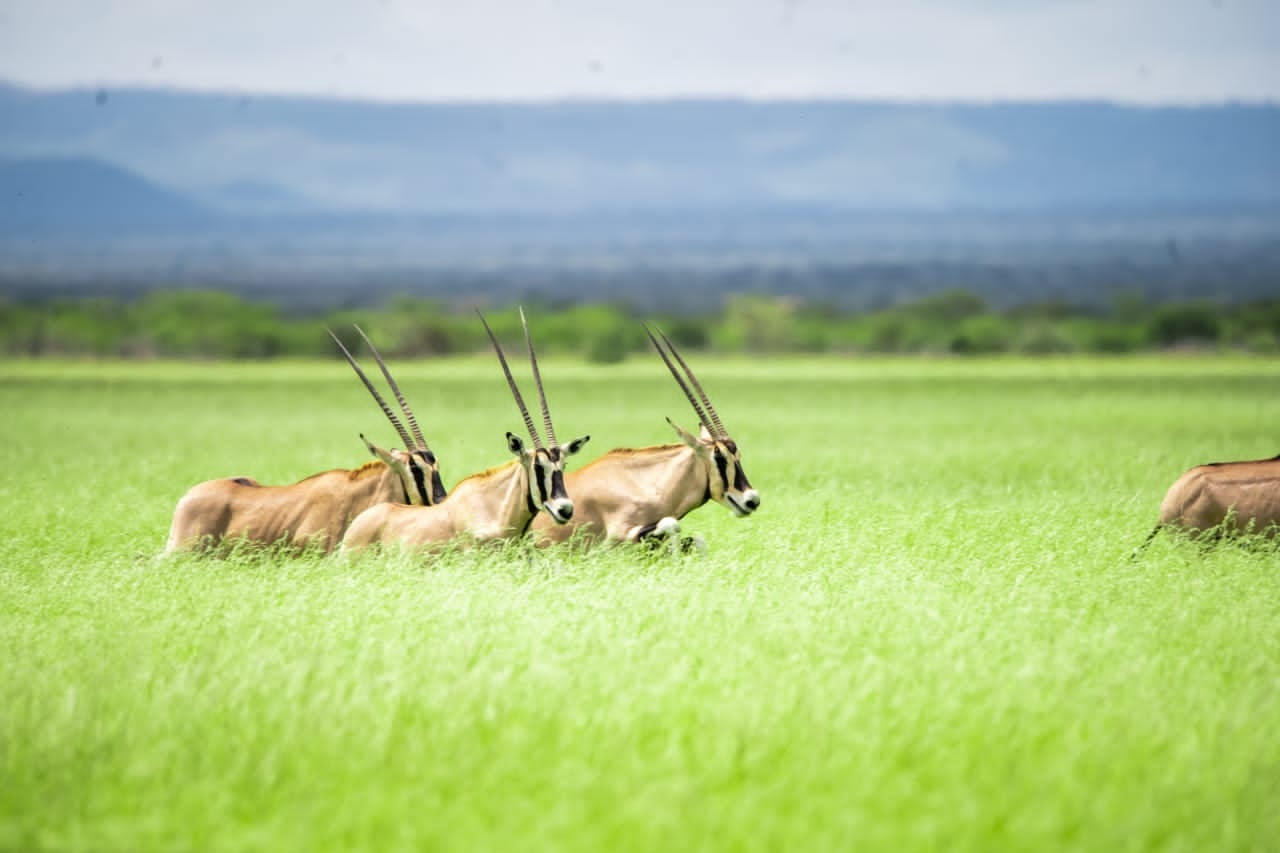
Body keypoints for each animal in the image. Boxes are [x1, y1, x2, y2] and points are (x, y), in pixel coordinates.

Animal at [529, 322, 757, 548]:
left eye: (738, 456)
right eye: (719, 458)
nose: (752, 500)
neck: (647, 484)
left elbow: (699, 541)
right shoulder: (618, 536)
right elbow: (672, 524)